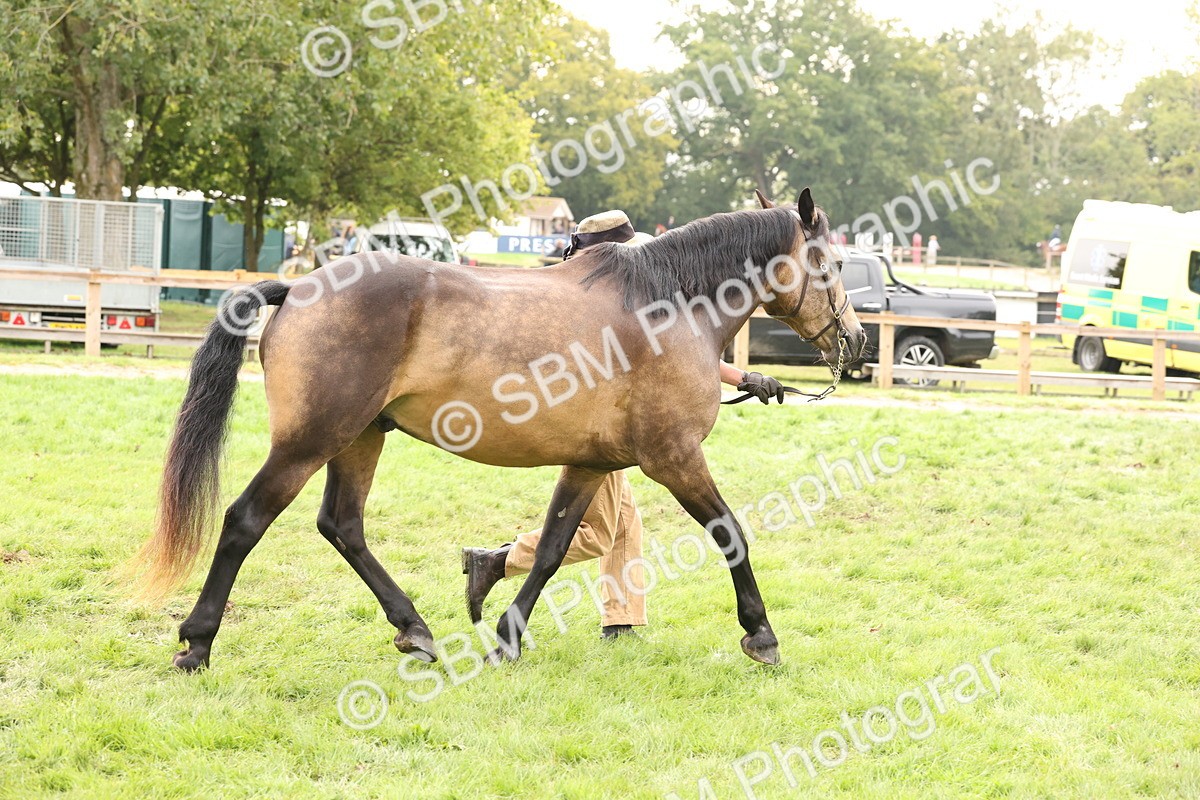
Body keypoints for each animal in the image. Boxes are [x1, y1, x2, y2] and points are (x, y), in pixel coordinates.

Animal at [137, 187, 867, 671]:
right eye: (831, 265)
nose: (856, 343)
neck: (667, 305)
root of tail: (300, 288)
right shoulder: (674, 457)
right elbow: (730, 533)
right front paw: (761, 635)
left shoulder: (591, 465)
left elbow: (550, 549)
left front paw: (507, 637)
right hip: (310, 441)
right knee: (245, 520)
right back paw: (197, 642)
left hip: (361, 437)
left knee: (342, 525)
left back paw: (416, 630)